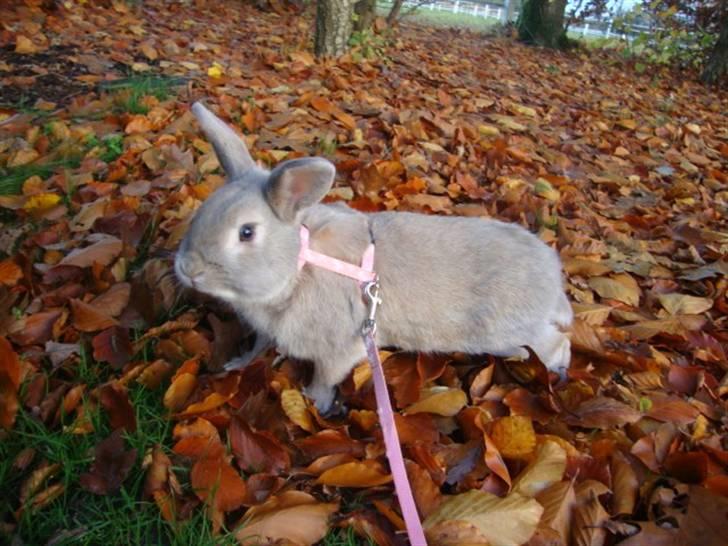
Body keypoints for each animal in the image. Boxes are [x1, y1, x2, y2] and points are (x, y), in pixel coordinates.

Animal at [175, 102, 573, 413]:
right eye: (202, 212)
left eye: (246, 232)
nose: (188, 269)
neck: (301, 264)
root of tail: (553, 276)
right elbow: (257, 347)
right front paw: (235, 364)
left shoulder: (340, 347)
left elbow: (326, 376)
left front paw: (314, 401)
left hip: (511, 327)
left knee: (557, 342)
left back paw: (558, 371)